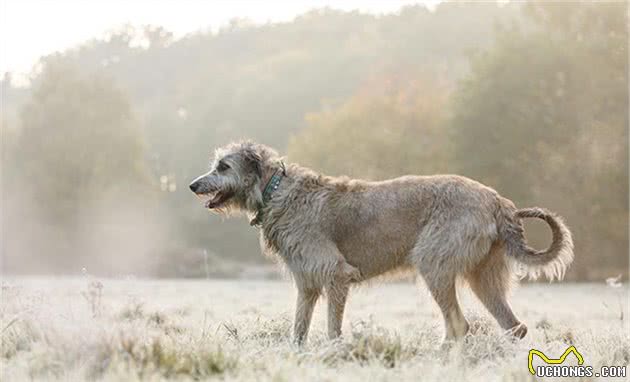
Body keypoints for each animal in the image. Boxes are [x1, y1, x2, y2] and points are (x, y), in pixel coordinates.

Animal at [190, 142, 576, 344]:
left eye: (223, 166)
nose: (193, 185)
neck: (275, 190)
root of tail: (497, 200)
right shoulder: (307, 283)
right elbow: (299, 326)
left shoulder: (335, 274)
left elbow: (332, 327)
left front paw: (333, 354)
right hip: (484, 276)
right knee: (515, 326)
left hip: (434, 264)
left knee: (459, 324)